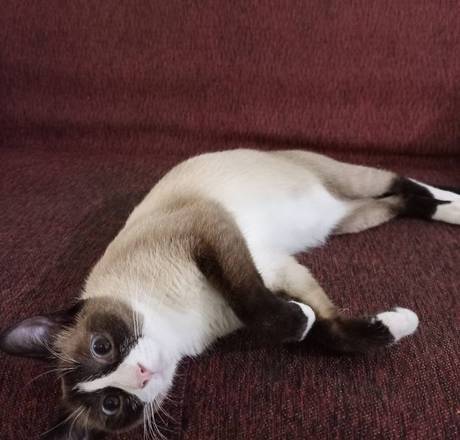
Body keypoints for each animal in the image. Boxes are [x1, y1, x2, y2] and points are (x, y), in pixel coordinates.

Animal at [1, 149, 459, 439]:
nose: (142, 374)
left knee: (400, 182)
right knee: (399, 203)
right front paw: (395, 324)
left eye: (102, 346)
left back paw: (451, 198)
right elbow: (329, 330)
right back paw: (450, 209)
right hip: (350, 219)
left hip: (344, 179)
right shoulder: (277, 270)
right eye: (112, 404)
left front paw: (302, 321)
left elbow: (257, 303)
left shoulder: (210, 230)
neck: (178, 332)